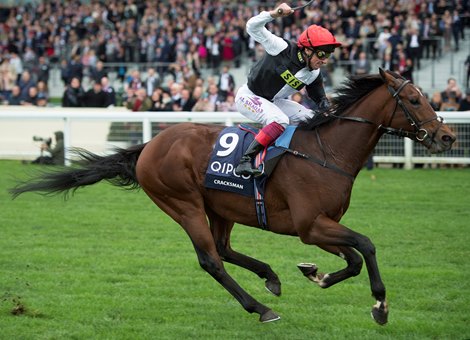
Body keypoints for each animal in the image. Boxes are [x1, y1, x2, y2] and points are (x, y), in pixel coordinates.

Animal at [8, 68, 456, 324]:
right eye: (413, 99)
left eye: (424, 97)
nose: (447, 137)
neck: (328, 153)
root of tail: (151, 145)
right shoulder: (311, 226)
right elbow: (366, 245)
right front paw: (380, 306)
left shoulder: (322, 226)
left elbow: (353, 258)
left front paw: (317, 273)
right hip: (183, 203)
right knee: (211, 260)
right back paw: (261, 308)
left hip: (219, 205)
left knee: (223, 248)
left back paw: (270, 277)